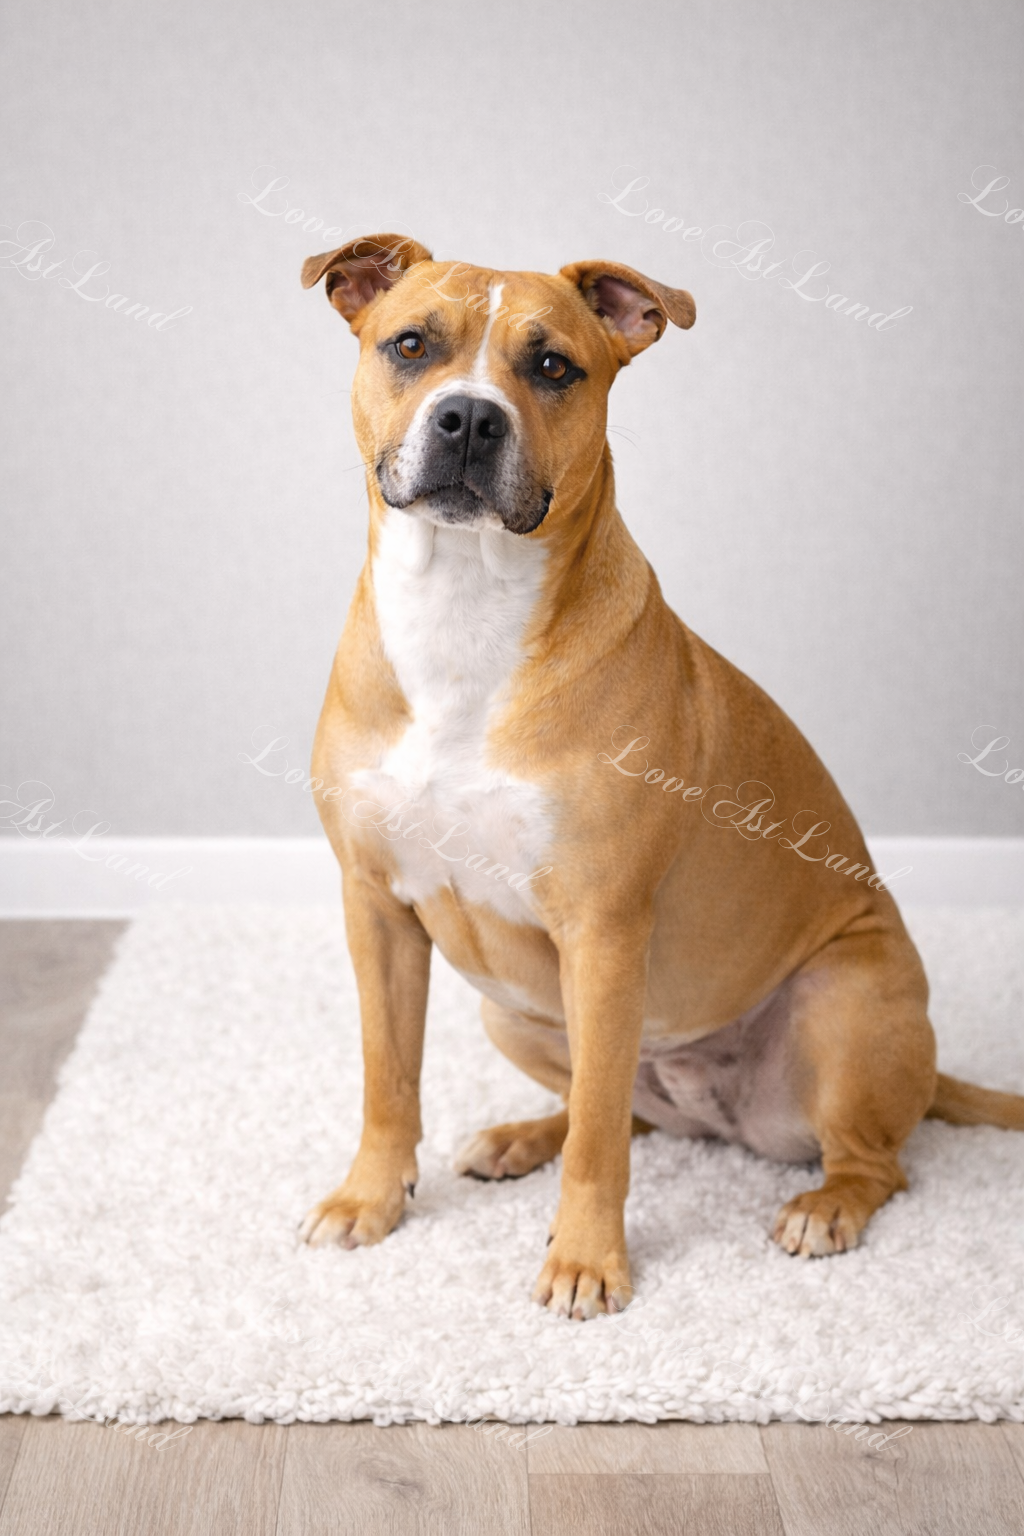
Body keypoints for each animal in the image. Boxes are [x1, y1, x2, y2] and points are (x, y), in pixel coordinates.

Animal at [297, 233, 1024, 1319]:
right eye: (412, 345)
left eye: (554, 366)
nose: (469, 416)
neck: (465, 609)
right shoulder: (375, 907)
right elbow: (390, 1081)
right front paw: (370, 1200)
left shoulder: (602, 930)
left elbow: (600, 1142)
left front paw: (586, 1262)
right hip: (511, 1009)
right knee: (621, 1111)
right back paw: (519, 1138)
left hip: (842, 1002)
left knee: (871, 1162)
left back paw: (825, 1208)